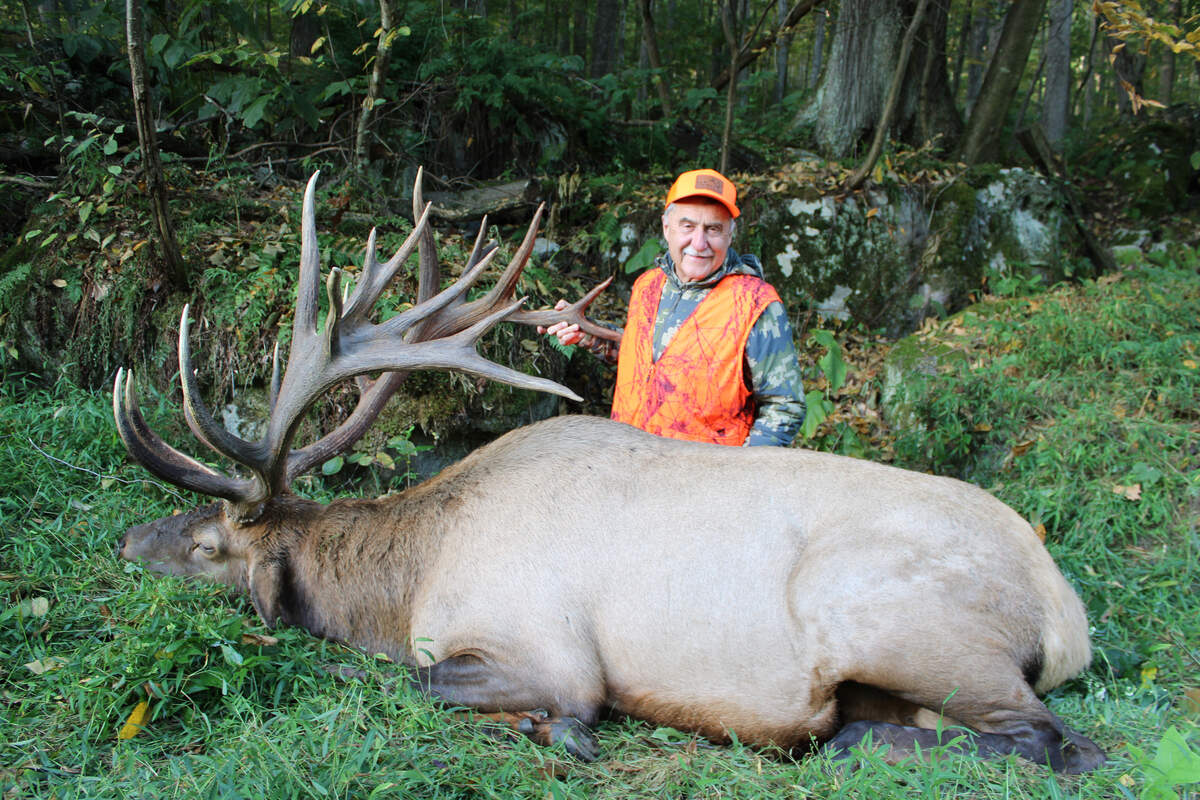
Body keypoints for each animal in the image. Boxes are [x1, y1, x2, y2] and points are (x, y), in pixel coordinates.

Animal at [114, 172, 1106, 773]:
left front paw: (553, 731)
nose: (127, 540)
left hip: (897, 617)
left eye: (207, 545)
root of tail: (1066, 612)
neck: (407, 581)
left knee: (1058, 741)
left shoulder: (542, 648)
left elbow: (409, 682)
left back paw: (835, 739)